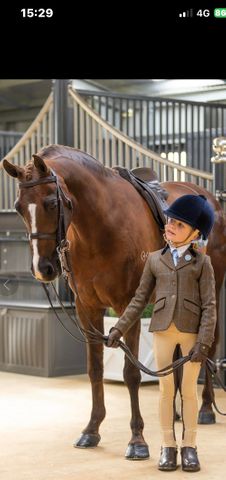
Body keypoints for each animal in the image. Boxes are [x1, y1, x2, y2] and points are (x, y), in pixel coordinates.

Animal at [2, 144, 226, 460]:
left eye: (51, 202)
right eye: (19, 206)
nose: (42, 268)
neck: (100, 226)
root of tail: (210, 198)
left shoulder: (128, 305)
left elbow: (131, 373)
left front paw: (137, 440)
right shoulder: (87, 309)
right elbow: (94, 369)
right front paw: (91, 430)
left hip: (211, 289)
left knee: (209, 343)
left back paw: (205, 408)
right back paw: (177, 411)